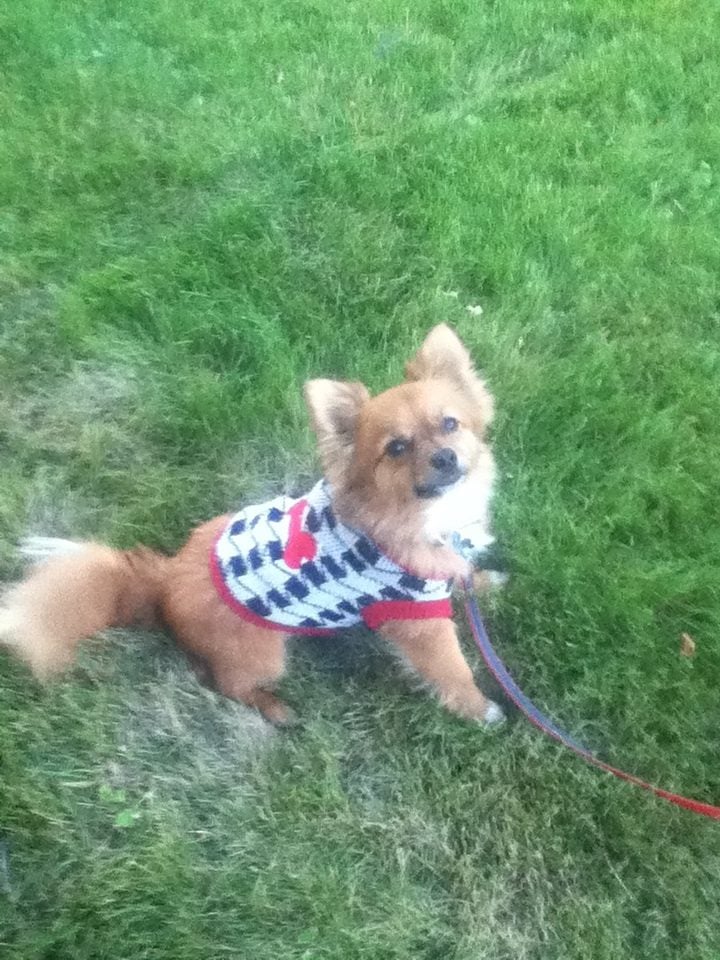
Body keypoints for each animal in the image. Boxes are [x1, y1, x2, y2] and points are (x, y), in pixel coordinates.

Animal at [0, 324, 504, 726]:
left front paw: (482, 582)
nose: (445, 457)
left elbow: (461, 573)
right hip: (264, 653)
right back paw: (275, 709)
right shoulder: (418, 622)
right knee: (227, 683)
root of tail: (164, 581)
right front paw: (481, 709)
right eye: (397, 448)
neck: (424, 515)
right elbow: (452, 669)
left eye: (451, 424)